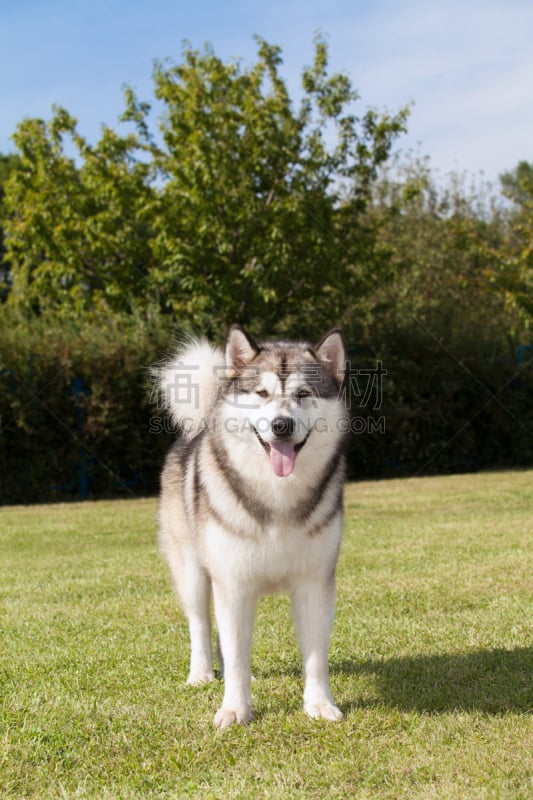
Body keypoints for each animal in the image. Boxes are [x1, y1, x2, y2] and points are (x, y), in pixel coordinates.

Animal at [156, 324, 348, 732]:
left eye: (303, 395)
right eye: (261, 394)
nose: (281, 425)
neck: (277, 494)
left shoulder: (315, 581)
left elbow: (315, 655)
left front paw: (319, 704)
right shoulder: (232, 582)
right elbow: (235, 655)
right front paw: (235, 709)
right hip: (192, 570)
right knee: (200, 623)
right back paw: (201, 674)